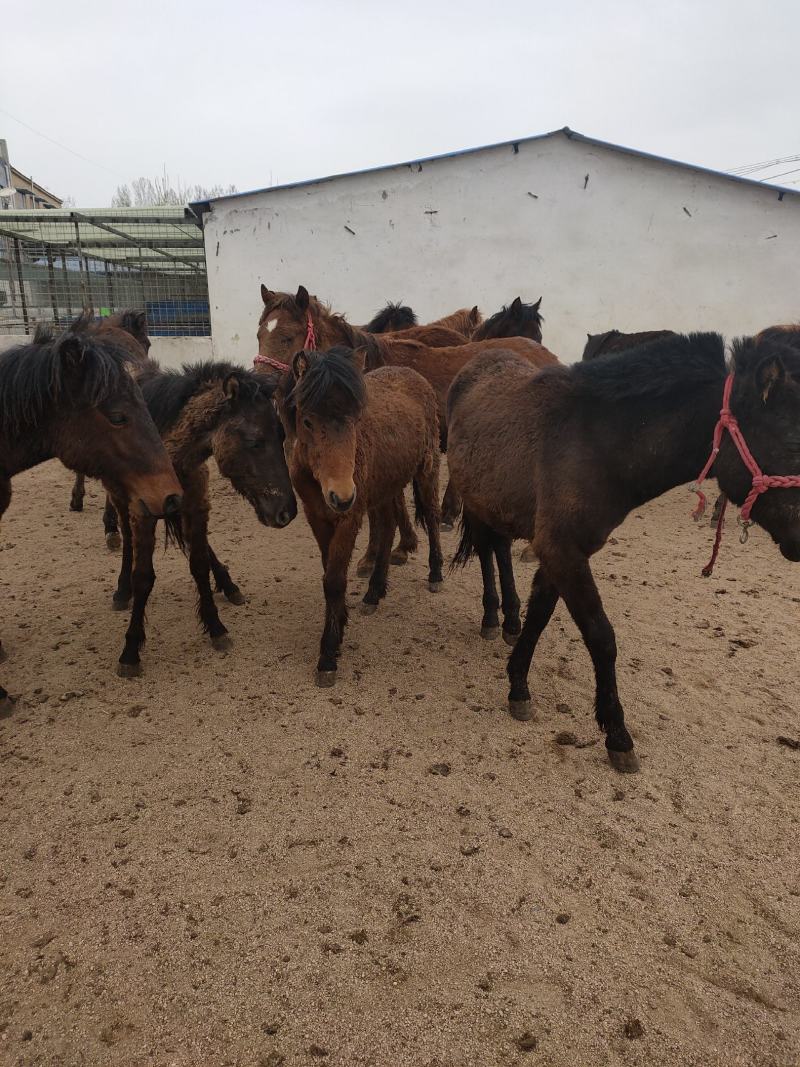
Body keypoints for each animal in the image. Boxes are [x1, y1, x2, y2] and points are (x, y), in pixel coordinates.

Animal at [110, 360, 296, 676]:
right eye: (255, 441)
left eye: (282, 435)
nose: (288, 511)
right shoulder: (142, 513)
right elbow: (143, 576)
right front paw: (131, 650)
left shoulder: (197, 505)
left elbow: (198, 565)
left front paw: (215, 626)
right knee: (125, 535)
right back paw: (122, 591)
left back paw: (228, 584)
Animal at [275, 346, 443, 687]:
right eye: (308, 420)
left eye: (355, 419)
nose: (342, 496)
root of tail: (413, 374)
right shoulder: (318, 517)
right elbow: (329, 572)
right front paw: (340, 623)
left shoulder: (349, 518)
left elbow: (335, 579)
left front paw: (328, 654)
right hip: (387, 485)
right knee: (389, 526)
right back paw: (374, 593)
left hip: (426, 469)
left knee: (432, 519)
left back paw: (435, 574)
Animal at [446, 332, 800, 773]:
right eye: (792, 444)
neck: (596, 446)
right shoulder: (563, 551)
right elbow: (601, 637)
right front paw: (617, 734)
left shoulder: (563, 551)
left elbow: (540, 616)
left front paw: (518, 684)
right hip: (477, 503)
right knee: (488, 551)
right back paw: (493, 616)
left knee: (501, 553)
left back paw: (508, 620)